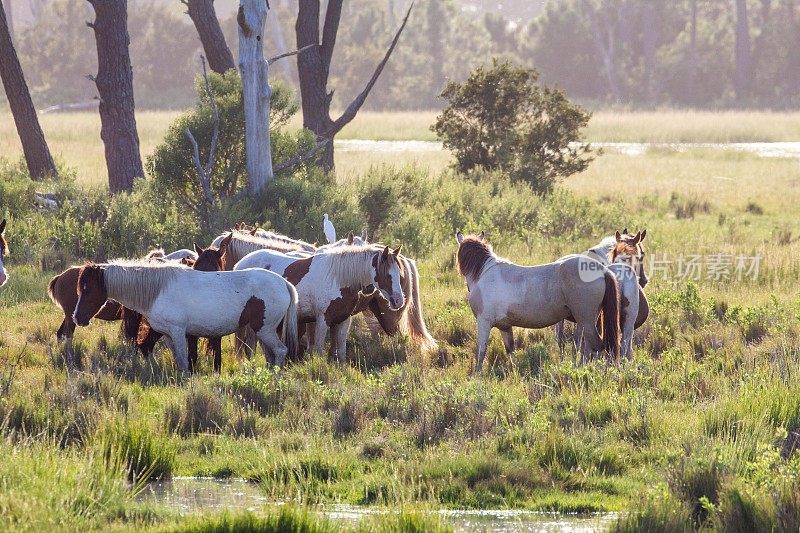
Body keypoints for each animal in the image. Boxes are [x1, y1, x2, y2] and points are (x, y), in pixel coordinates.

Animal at [73, 260, 298, 370]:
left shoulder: (178, 331)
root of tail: (283, 283)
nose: (77, 318)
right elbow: (178, 359)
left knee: (280, 351)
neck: (159, 290)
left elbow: (183, 358)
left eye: (88, 289)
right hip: (263, 331)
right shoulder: (167, 334)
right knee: (271, 355)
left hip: (265, 330)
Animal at [456, 231, 624, 372]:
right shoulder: (505, 327)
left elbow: (481, 351)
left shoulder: (484, 322)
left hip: (586, 321)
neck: (484, 273)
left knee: (597, 346)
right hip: (587, 322)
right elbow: (510, 351)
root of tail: (602, 270)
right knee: (589, 347)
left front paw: (477, 375)